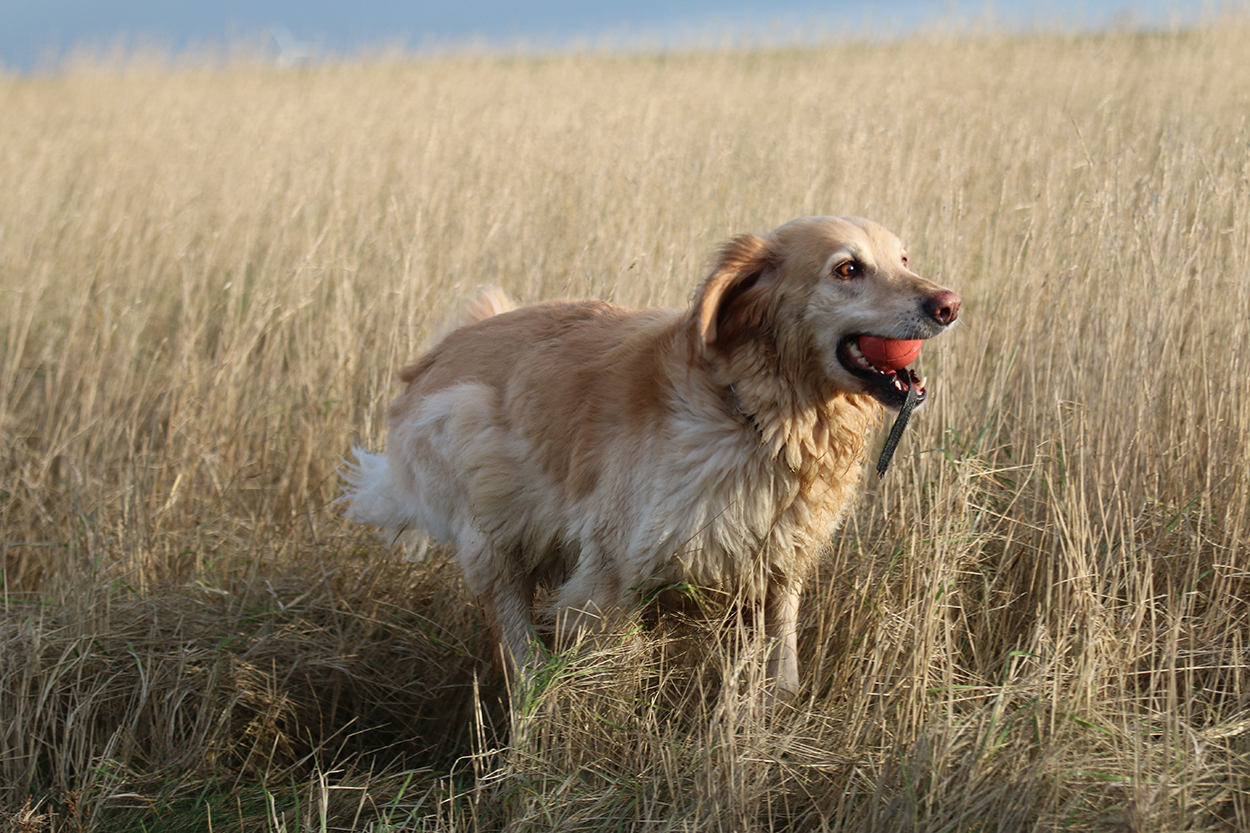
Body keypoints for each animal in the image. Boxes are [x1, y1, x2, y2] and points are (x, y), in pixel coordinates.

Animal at [344, 216, 960, 697]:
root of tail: (443, 349)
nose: (949, 304)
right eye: (847, 270)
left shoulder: (779, 565)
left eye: (904, 258)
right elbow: (609, 680)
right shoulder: (612, 578)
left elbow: (781, 667)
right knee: (522, 653)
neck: (756, 415)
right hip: (487, 519)